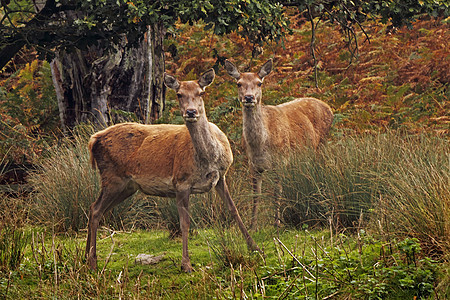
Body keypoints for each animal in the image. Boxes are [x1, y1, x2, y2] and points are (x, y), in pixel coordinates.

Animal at [85, 68, 258, 272]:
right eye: (179, 94)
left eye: (201, 93)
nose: (191, 112)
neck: (208, 160)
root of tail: (94, 140)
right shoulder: (181, 182)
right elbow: (185, 222)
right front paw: (186, 264)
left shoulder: (220, 177)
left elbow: (234, 210)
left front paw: (254, 247)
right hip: (112, 178)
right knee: (96, 210)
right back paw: (92, 262)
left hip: (127, 187)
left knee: (94, 208)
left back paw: (85, 257)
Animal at [225, 59, 334, 231]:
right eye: (239, 83)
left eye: (259, 83)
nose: (249, 98)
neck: (260, 144)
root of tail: (329, 108)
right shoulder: (253, 165)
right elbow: (256, 195)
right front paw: (252, 226)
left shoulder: (281, 161)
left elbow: (277, 192)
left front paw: (277, 223)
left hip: (321, 144)